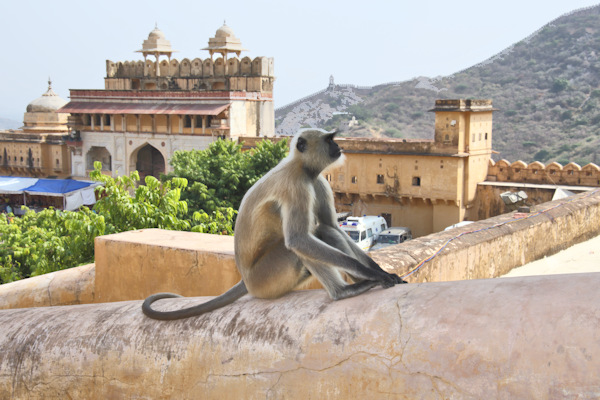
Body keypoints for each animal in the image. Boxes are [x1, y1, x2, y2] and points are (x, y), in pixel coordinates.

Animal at [141, 130, 406, 320]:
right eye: (329, 139)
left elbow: (332, 225)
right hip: (268, 277)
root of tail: (246, 279)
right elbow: (298, 239)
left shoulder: (316, 180)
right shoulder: (297, 185)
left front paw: (380, 271)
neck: (301, 167)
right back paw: (343, 292)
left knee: (325, 230)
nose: (338, 146)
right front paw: (372, 273)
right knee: (301, 243)